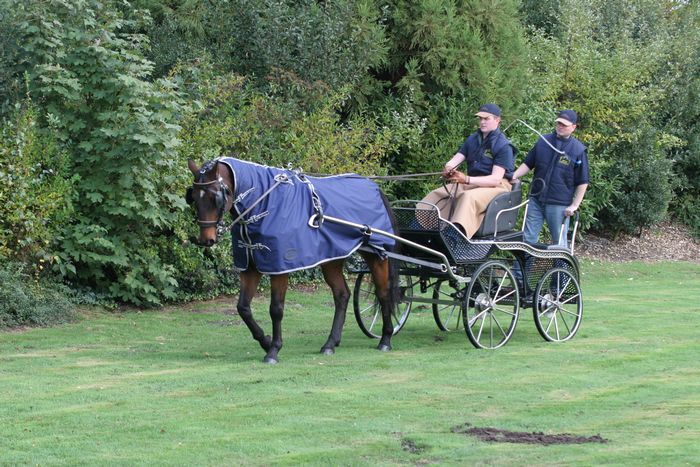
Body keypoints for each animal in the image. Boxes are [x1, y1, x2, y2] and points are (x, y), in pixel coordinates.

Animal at [186, 159, 400, 364]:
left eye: (216, 197)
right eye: (194, 197)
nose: (206, 239)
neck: (263, 201)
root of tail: (373, 186)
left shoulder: (279, 269)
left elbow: (276, 309)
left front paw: (273, 350)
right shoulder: (250, 267)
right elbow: (243, 308)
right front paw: (265, 341)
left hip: (376, 255)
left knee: (383, 293)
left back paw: (386, 339)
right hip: (331, 257)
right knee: (342, 295)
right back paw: (330, 343)